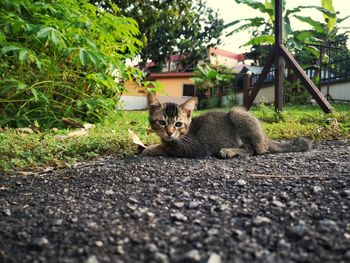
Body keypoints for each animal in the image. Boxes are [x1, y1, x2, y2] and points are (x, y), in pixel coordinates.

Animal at [142, 93, 312, 159]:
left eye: (178, 124)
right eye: (162, 122)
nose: (170, 133)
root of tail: (265, 137)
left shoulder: (193, 148)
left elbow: (167, 148)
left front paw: (150, 148)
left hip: (237, 113)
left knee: (255, 150)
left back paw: (229, 151)